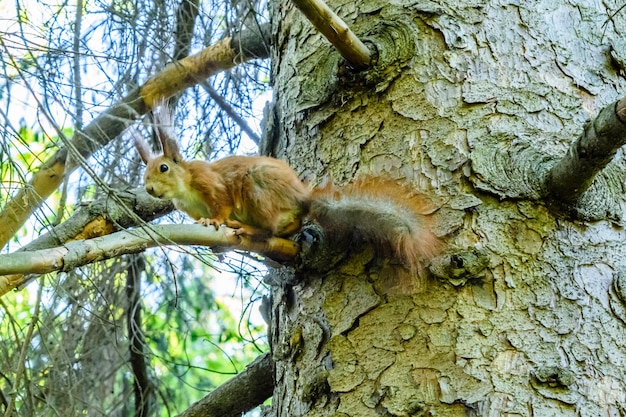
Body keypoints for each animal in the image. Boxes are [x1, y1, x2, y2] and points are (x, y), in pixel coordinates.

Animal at [134, 105, 436, 272]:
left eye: (163, 168)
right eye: (145, 172)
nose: (148, 189)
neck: (185, 190)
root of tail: (302, 199)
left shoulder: (211, 183)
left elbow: (222, 204)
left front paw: (216, 220)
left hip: (255, 186)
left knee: (268, 230)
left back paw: (248, 229)